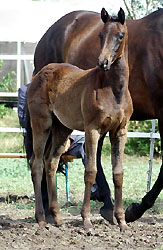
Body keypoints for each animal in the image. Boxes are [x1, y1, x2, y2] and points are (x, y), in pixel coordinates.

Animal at [31, 7, 162, 223]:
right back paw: (44, 216)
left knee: (51, 161)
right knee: (38, 162)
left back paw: (58, 215)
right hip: (45, 124)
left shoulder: (118, 129)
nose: (102, 62)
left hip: (64, 127)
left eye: (120, 35)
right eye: (100, 35)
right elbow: (90, 171)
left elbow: (118, 172)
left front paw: (124, 218)